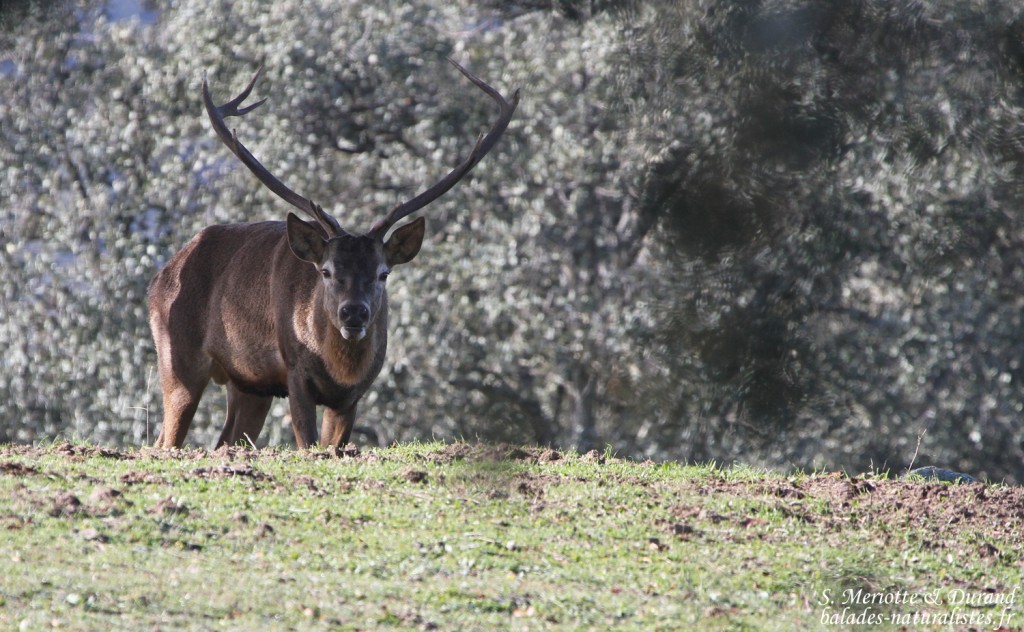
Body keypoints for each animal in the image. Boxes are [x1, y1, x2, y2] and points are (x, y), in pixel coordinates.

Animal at [148, 59, 519, 449]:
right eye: (325, 271)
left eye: (383, 273)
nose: (353, 312)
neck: (339, 371)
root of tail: (159, 276)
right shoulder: (295, 373)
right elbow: (307, 443)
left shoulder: (352, 396)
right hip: (177, 359)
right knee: (163, 441)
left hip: (249, 384)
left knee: (223, 441)